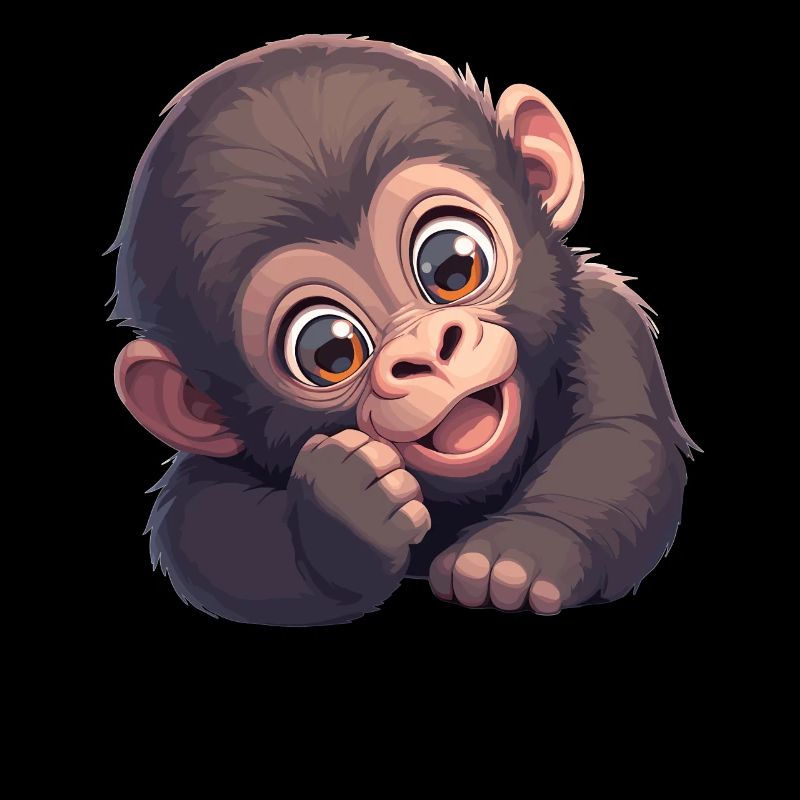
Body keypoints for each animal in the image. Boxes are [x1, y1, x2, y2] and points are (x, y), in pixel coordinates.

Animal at [110, 34, 696, 626]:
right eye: (330, 350)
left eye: (454, 267)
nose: (429, 353)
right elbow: (202, 525)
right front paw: (343, 514)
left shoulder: (607, 325)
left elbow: (616, 441)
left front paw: (516, 555)